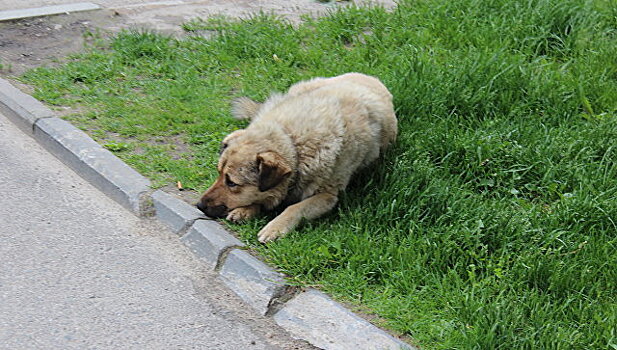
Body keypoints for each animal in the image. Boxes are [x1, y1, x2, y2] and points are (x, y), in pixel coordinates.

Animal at [199, 72, 400, 242]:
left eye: (232, 183)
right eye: (218, 174)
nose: (199, 205)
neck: (294, 143)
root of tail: (370, 77)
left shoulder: (327, 196)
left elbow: (294, 208)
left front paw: (275, 226)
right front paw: (246, 210)